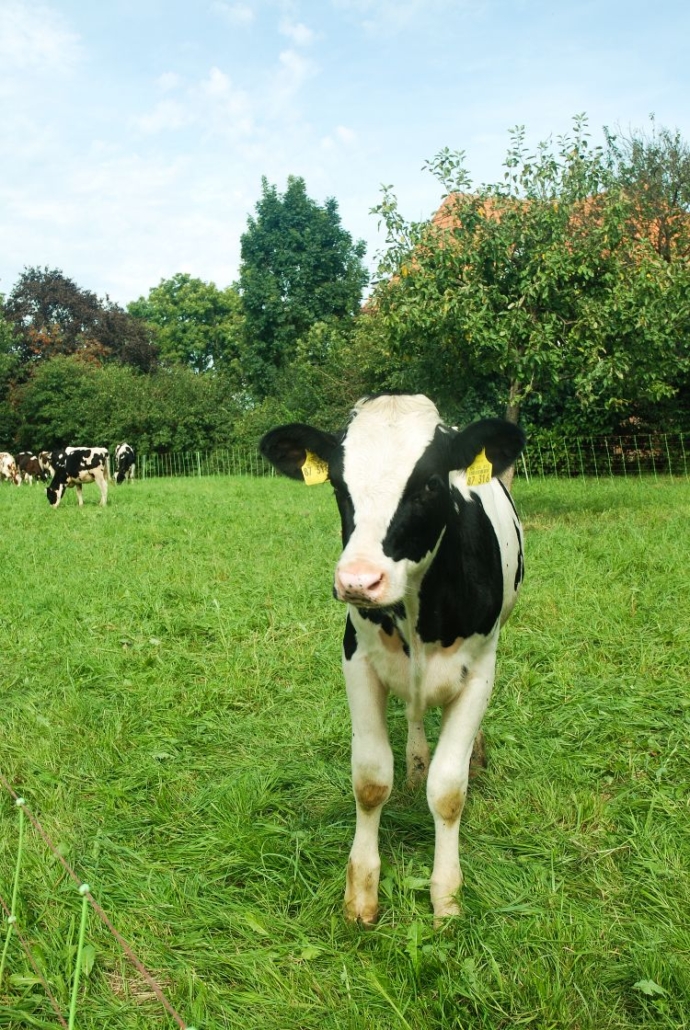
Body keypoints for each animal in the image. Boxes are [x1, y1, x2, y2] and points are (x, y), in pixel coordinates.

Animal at [260, 393, 525, 924]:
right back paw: (416, 760)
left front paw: (446, 896)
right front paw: (361, 891)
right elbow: (370, 779)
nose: (358, 581)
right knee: (416, 714)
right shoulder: (357, 659)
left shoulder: (480, 669)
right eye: (339, 485)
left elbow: (448, 790)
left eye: (429, 483)